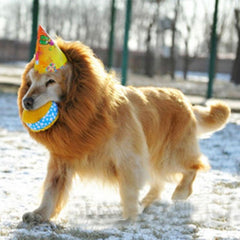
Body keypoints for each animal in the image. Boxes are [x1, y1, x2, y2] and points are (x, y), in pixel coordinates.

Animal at [17, 38, 230, 224]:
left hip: (169, 155)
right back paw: (145, 203)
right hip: (156, 158)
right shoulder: (62, 159)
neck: (92, 112)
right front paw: (40, 213)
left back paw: (180, 192)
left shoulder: (129, 159)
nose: (26, 101)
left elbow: (127, 190)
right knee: (160, 182)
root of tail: (186, 101)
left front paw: (129, 217)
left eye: (50, 81)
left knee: (193, 167)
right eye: (30, 81)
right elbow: (51, 191)